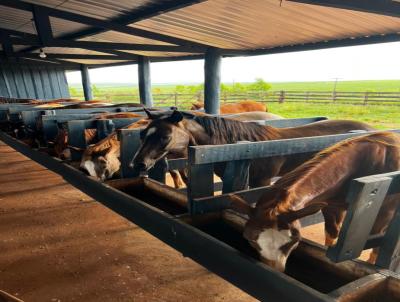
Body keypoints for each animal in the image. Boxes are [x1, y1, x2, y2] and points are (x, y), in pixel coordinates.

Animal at [228, 132, 400, 272]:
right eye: (250, 239)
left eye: (294, 241)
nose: (276, 270)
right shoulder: (332, 207)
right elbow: (331, 234)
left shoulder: (385, 213)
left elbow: (376, 246)